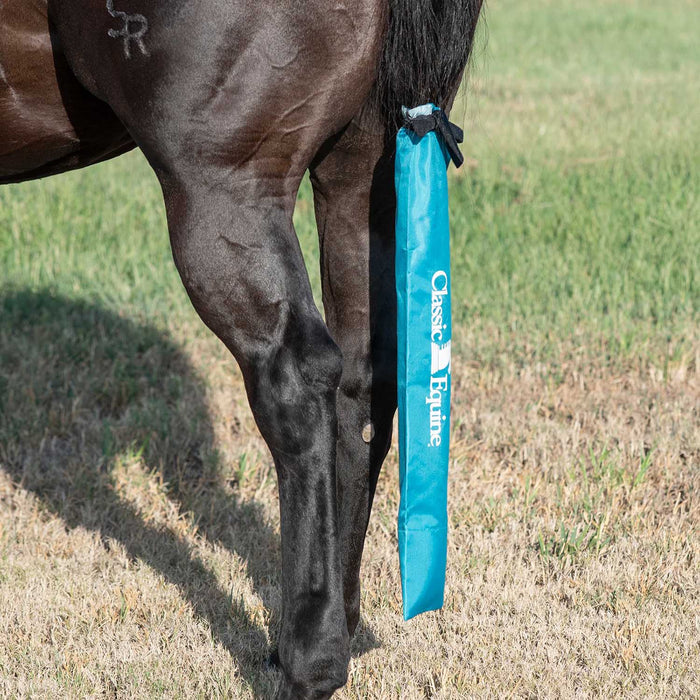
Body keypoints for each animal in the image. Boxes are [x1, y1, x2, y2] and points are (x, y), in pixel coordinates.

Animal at [0, 0, 483, 696]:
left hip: (224, 187)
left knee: (299, 378)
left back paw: (310, 660)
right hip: (362, 162)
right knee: (366, 383)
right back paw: (334, 622)